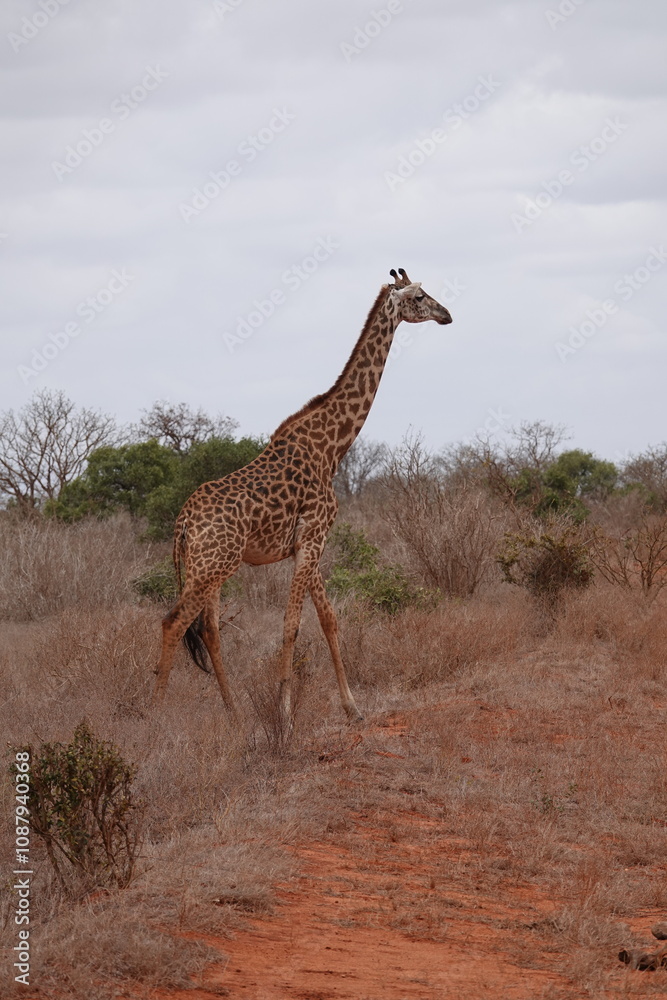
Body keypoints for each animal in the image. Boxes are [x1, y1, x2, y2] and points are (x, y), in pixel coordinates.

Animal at [152, 268, 452, 720]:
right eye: (418, 296)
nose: (446, 314)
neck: (332, 447)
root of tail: (184, 522)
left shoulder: (307, 543)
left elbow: (328, 619)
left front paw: (352, 708)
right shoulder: (313, 536)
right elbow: (291, 625)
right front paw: (285, 714)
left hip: (208, 567)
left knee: (208, 629)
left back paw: (234, 714)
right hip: (213, 565)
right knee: (174, 622)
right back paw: (151, 715)